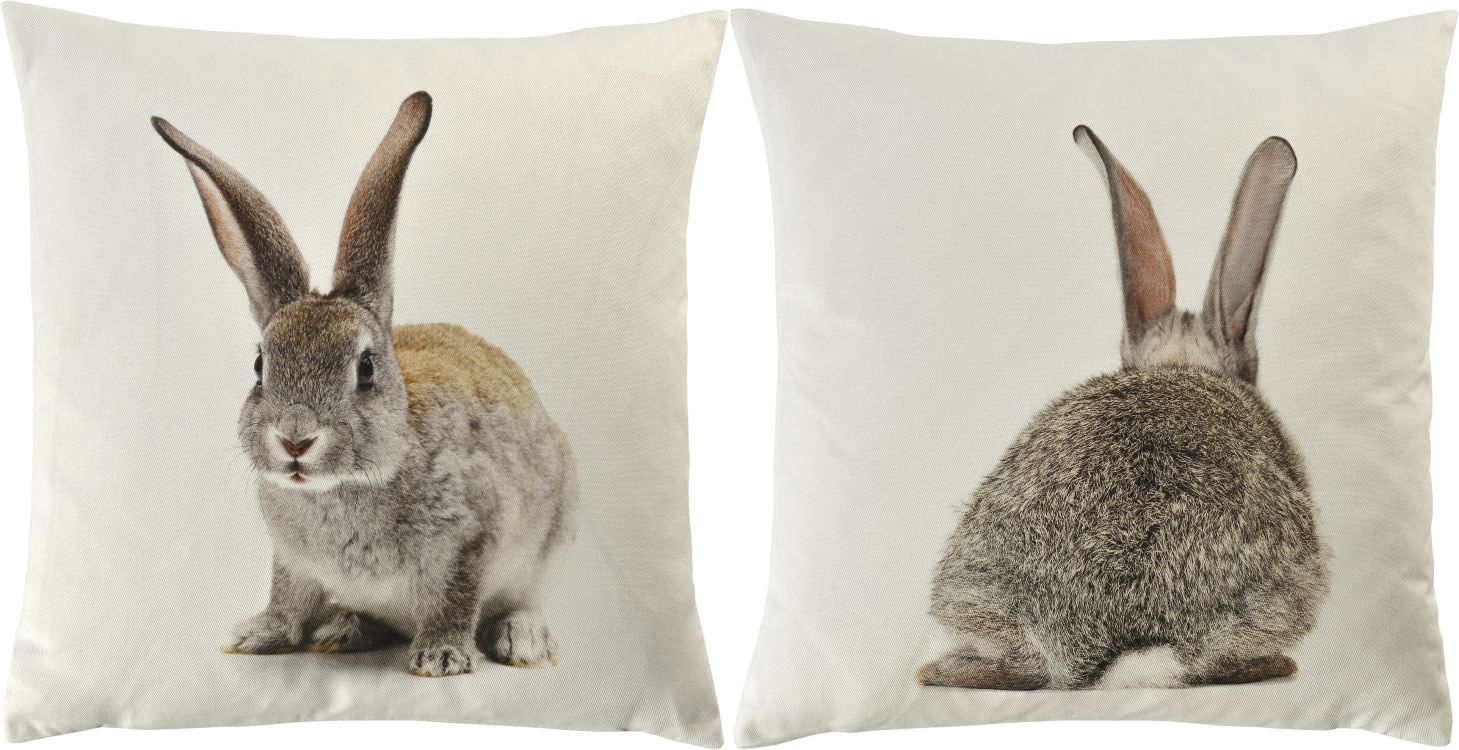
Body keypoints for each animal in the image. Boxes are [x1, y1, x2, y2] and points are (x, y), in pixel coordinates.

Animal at [152, 91, 578, 677]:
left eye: (366, 368)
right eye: (261, 365)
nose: (295, 439)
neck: (345, 485)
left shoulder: (472, 539)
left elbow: (455, 600)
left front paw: (441, 656)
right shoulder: (291, 560)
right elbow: (287, 597)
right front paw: (257, 633)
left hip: (552, 535)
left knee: (526, 599)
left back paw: (522, 638)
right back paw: (344, 628)